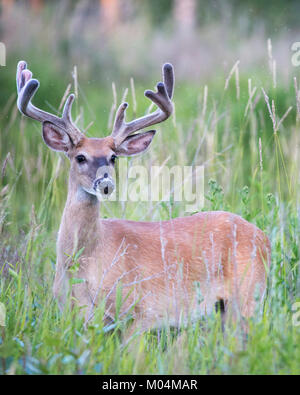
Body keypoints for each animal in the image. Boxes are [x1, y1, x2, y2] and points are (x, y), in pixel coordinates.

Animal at [15, 61, 270, 334]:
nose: (105, 184)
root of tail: (264, 238)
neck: (85, 264)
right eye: (80, 157)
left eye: (113, 157)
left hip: (248, 296)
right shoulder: (74, 317)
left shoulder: (138, 312)